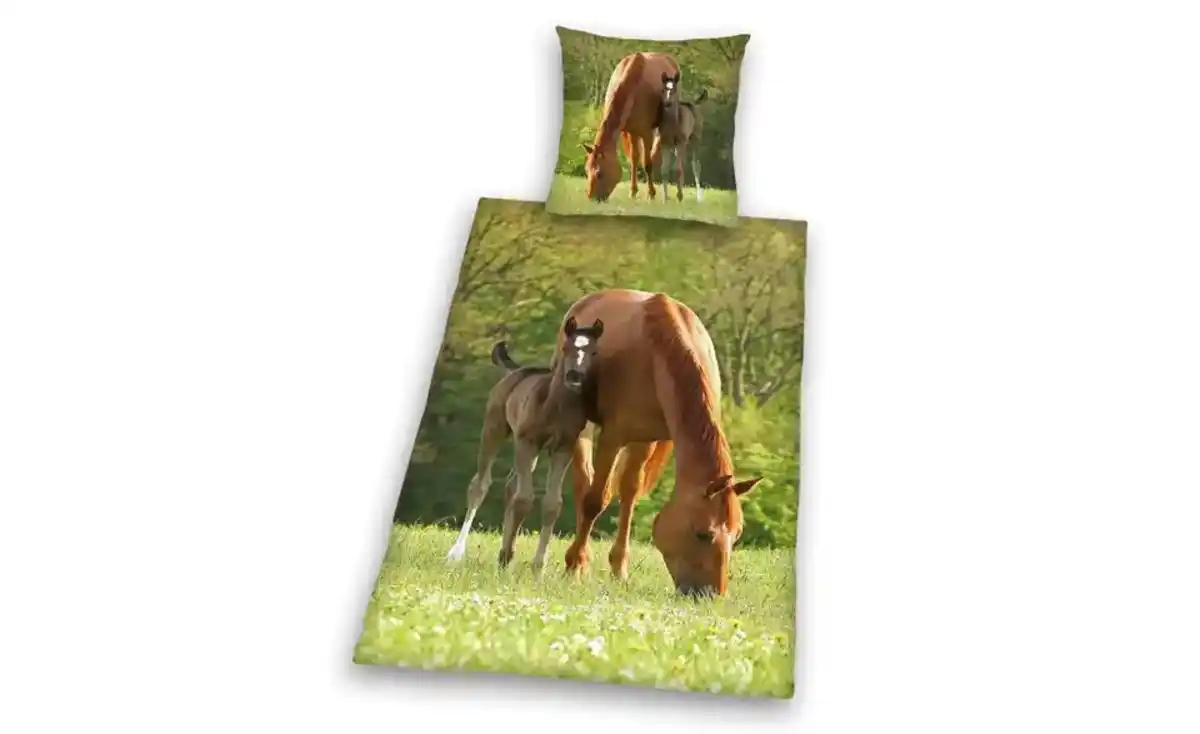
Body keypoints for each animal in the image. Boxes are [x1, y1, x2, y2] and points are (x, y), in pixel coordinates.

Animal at [445, 316, 605, 572]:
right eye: (566, 347)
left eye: (594, 352)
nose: (575, 377)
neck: (556, 407)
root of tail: (516, 370)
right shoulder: (527, 442)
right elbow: (524, 499)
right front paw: (510, 559)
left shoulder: (562, 449)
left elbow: (552, 503)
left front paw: (537, 566)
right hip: (494, 428)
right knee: (481, 485)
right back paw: (457, 553)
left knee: (510, 486)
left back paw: (503, 552)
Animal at [550, 289, 762, 598]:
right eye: (702, 534)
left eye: (737, 535)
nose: (712, 595)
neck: (659, 351)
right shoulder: (614, 436)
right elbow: (594, 500)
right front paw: (574, 566)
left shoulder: (647, 437)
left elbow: (630, 493)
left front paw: (619, 569)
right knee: (584, 483)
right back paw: (580, 559)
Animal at [582, 51, 681, 203]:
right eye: (586, 170)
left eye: (600, 173)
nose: (591, 198)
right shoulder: (630, 131)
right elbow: (633, 160)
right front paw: (633, 192)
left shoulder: (646, 133)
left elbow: (647, 163)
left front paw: (651, 193)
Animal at [653, 73, 707, 203]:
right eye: (663, 89)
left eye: (674, 89)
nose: (667, 103)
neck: (673, 123)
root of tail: (694, 103)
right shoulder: (665, 144)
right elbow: (664, 169)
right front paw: (665, 198)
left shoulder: (680, 142)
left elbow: (677, 169)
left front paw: (679, 196)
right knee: (682, 164)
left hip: (694, 141)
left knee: (695, 165)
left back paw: (699, 198)